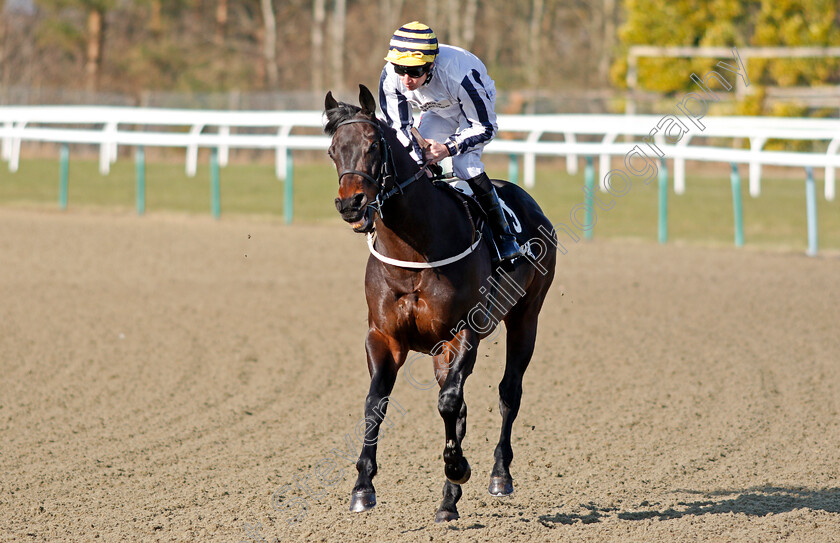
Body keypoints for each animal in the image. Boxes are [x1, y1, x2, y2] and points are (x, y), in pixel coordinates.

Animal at [324, 85, 556, 524]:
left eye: (373, 145)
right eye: (332, 150)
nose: (351, 204)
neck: (416, 250)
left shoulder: (462, 333)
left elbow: (449, 403)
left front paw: (458, 468)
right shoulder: (383, 336)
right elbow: (375, 404)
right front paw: (363, 487)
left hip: (527, 316)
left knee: (508, 392)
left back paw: (498, 476)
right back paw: (449, 501)